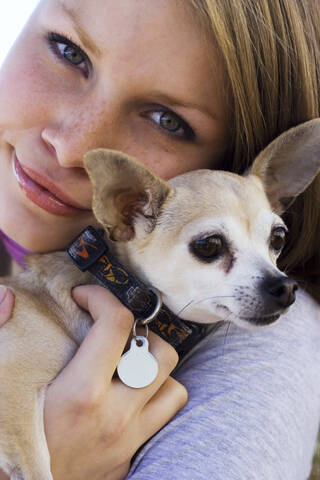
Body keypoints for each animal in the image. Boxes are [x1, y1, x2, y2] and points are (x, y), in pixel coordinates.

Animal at [0, 117, 320, 480]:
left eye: (278, 238)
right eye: (209, 245)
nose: (285, 287)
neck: (120, 286)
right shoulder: (13, 390)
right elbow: (37, 467)